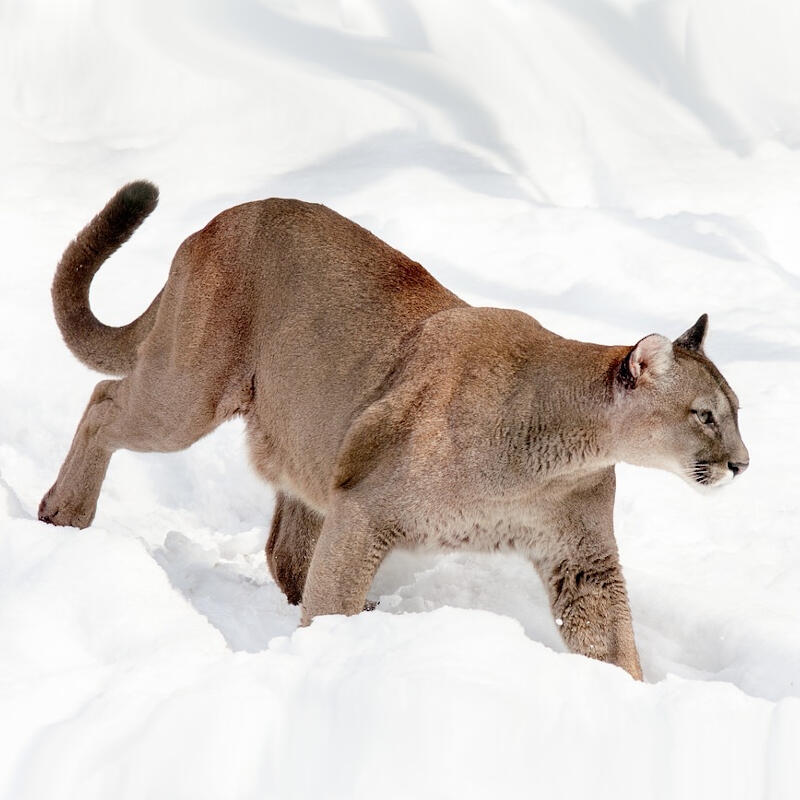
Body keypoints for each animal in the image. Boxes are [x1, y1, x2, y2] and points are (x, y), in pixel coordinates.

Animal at [39, 183, 752, 680]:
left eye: (738, 410)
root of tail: (212, 223)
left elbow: (612, 644)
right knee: (104, 402)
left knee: (285, 547)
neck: (559, 450)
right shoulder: (366, 507)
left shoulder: (583, 560)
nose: (743, 464)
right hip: (191, 394)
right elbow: (333, 589)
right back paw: (63, 514)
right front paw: (324, 658)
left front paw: (631, 701)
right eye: (705, 414)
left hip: (308, 441)